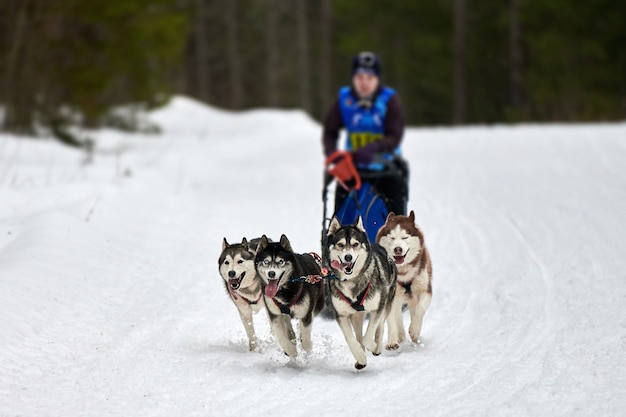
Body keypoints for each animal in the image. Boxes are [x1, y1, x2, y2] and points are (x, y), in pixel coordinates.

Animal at [324, 218, 392, 368]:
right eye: (340, 244)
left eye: (355, 244)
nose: (348, 257)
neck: (351, 280)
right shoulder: (341, 314)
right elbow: (350, 338)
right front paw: (360, 356)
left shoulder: (378, 307)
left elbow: (370, 334)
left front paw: (372, 346)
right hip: (356, 316)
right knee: (359, 334)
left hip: (386, 303)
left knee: (380, 326)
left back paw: (377, 347)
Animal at [376, 210, 428, 350]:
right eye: (392, 238)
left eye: (405, 237)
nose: (397, 249)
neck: (403, 272)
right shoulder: (390, 296)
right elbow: (392, 320)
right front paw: (392, 341)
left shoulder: (425, 290)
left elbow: (420, 308)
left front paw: (414, 330)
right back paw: (400, 335)